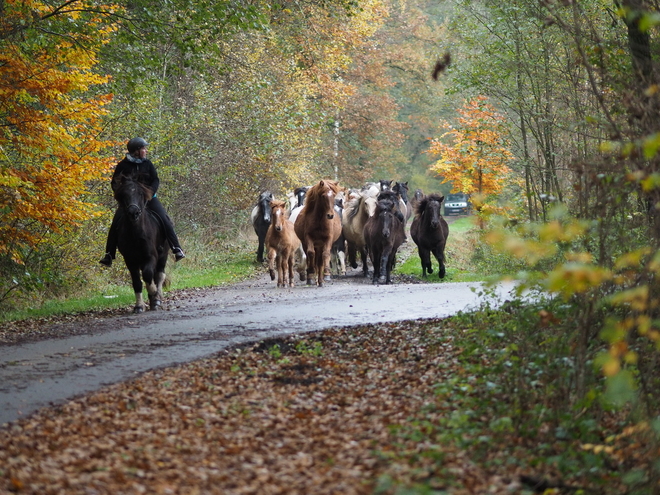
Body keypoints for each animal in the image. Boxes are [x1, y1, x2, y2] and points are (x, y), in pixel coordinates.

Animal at [112, 176, 168, 312]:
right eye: (124, 194)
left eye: (140, 193)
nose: (134, 212)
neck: (135, 233)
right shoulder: (130, 260)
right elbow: (137, 282)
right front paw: (139, 306)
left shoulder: (151, 256)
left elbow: (148, 275)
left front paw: (154, 293)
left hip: (163, 255)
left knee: (159, 275)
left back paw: (157, 298)